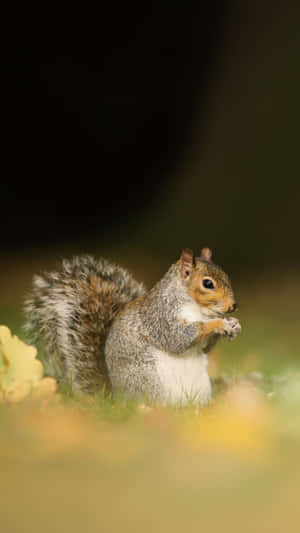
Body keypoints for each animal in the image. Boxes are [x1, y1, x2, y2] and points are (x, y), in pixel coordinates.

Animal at [23, 247, 241, 406]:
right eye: (208, 283)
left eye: (226, 275)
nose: (233, 306)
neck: (198, 309)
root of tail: (117, 398)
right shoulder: (160, 318)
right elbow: (178, 338)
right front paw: (218, 323)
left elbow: (205, 347)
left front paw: (234, 325)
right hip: (148, 381)